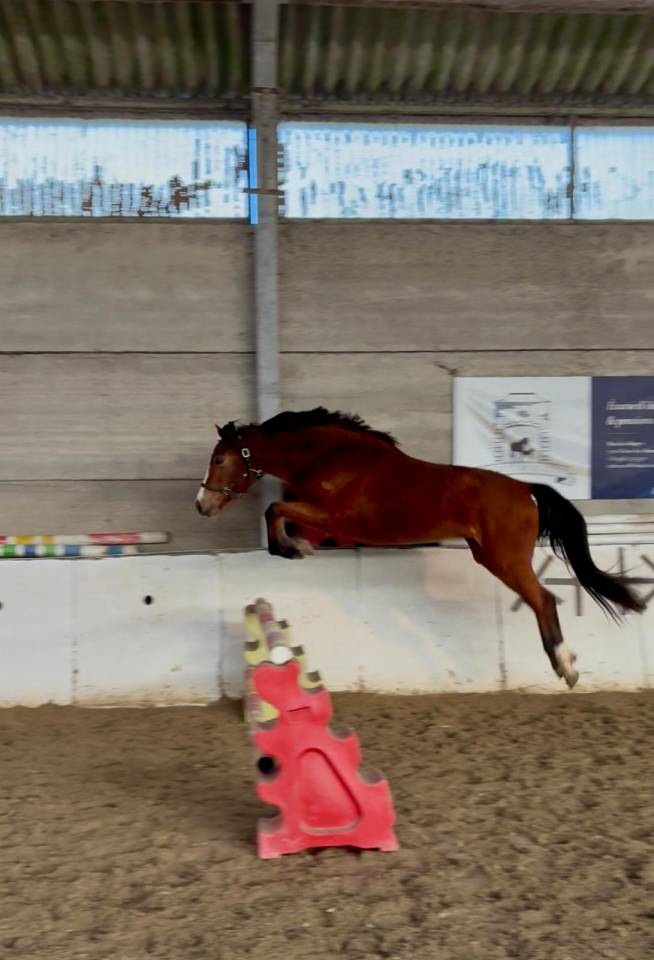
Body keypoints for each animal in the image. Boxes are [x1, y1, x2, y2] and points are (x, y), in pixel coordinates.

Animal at [195, 407, 646, 689]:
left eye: (219, 459)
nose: (202, 505)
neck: (333, 457)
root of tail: (525, 489)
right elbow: (279, 511)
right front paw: (296, 545)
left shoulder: (333, 518)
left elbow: (274, 508)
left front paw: (293, 548)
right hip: (488, 556)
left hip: (505, 560)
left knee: (545, 600)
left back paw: (565, 666)